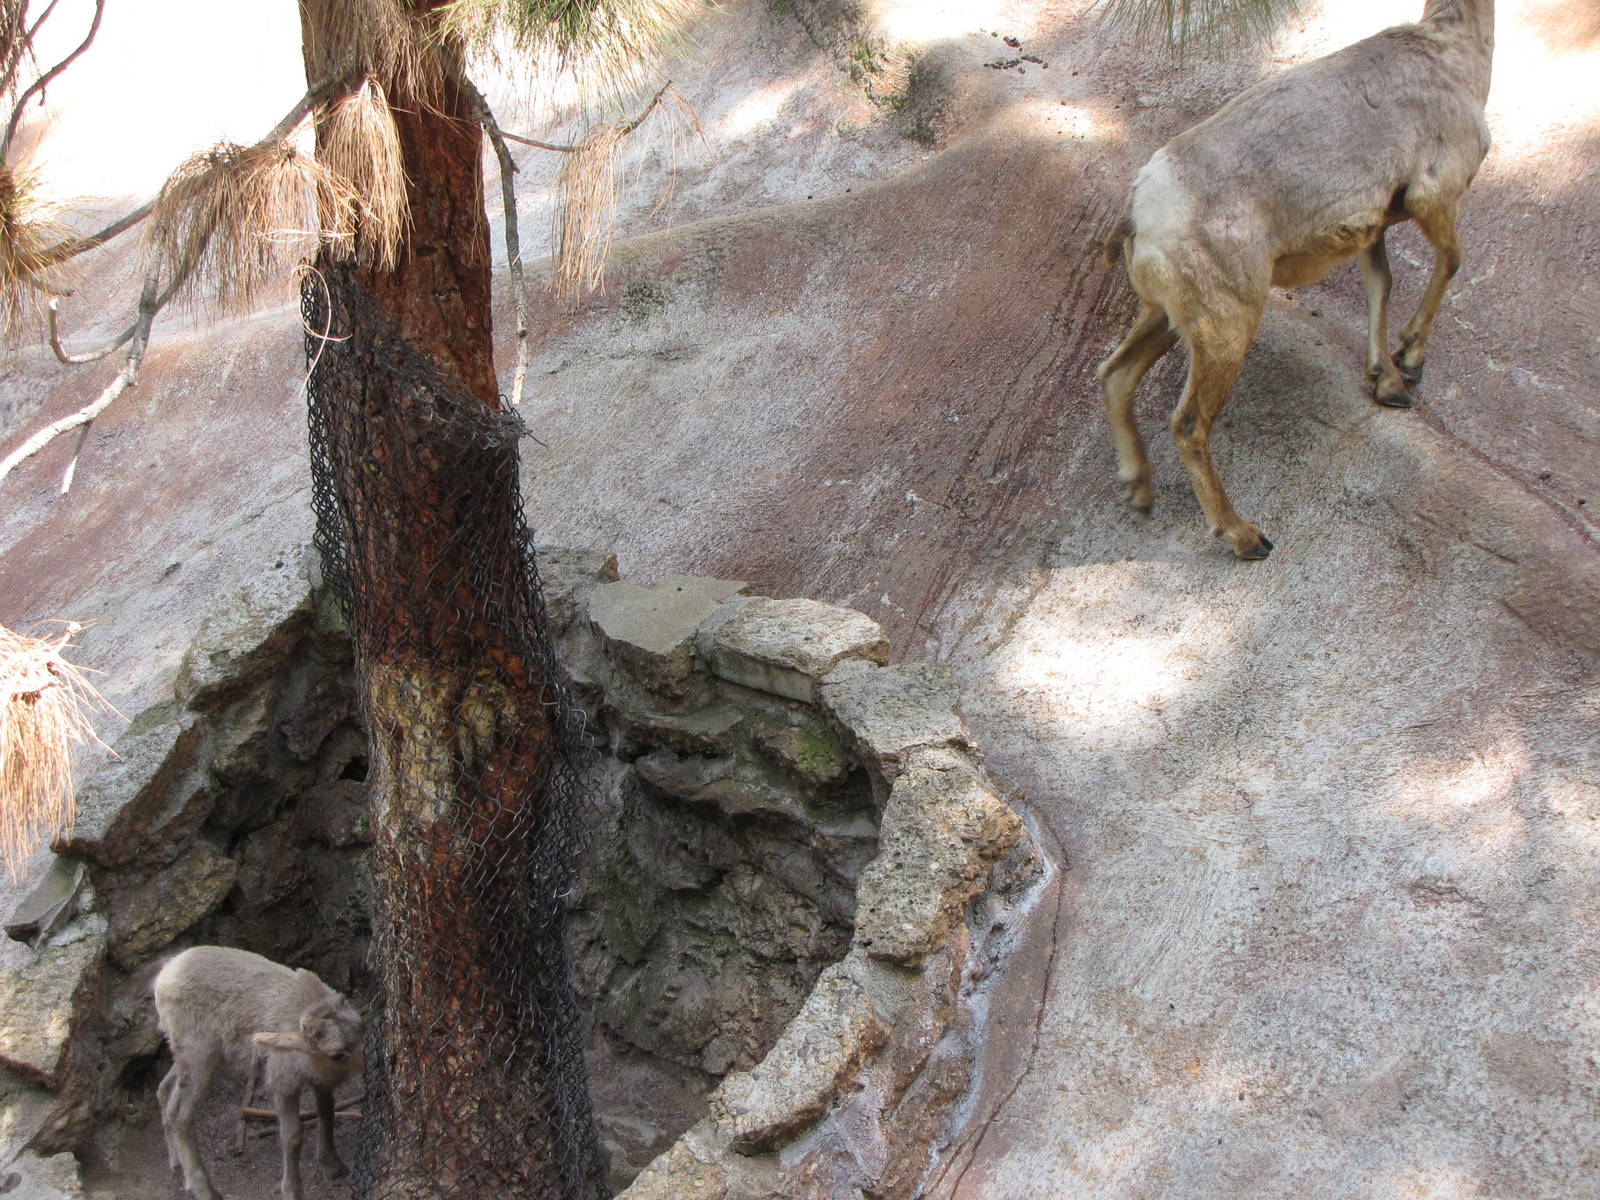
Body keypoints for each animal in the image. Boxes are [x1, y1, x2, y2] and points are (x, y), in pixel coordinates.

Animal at [153, 945, 363, 1200]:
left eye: (360, 1028)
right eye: (337, 1054)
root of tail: (164, 974)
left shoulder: (320, 1077)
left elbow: (327, 1111)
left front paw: (332, 1165)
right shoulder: (282, 1078)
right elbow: (292, 1134)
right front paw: (292, 1190)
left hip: (184, 1048)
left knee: (165, 1091)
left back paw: (177, 1165)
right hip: (197, 1050)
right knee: (181, 1116)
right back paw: (203, 1188)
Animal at [1098, 0, 1494, 558]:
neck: (1454, 54)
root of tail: (1140, 211)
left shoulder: (1371, 230)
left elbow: (1382, 283)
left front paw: (1388, 383)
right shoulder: (1433, 196)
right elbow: (1452, 260)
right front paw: (1410, 360)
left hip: (1167, 317)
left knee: (1116, 375)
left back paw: (1140, 492)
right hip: (1227, 328)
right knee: (1190, 425)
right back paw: (1246, 537)